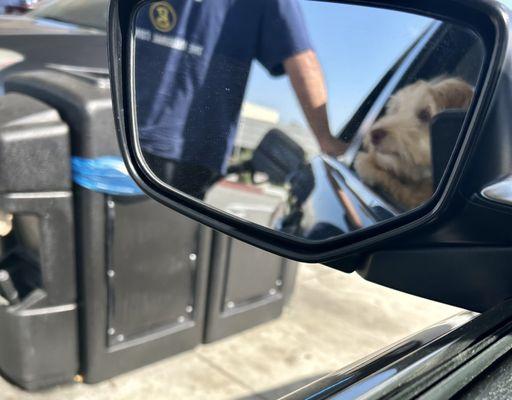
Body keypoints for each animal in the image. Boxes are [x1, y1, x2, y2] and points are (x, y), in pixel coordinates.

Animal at [356, 77, 472, 211]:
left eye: (425, 115)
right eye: (396, 110)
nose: (374, 134)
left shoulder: (415, 198)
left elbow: (397, 187)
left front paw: (367, 166)